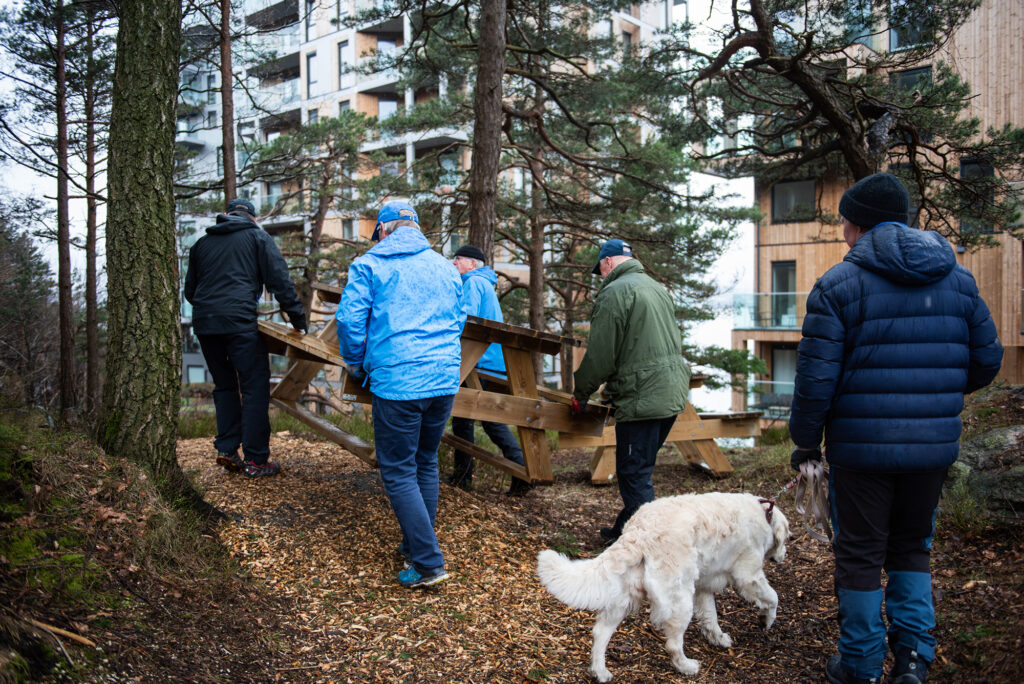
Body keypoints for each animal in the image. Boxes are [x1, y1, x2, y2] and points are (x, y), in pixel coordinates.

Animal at [536, 492, 789, 681]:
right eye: (787, 539)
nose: (783, 556)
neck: (764, 514)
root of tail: (638, 531)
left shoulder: (704, 587)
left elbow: (710, 618)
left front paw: (718, 638)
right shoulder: (748, 576)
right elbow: (773, 597)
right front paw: (766, 620)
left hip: (625, 598)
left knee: (600, 632)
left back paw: (600, 671)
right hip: (680, 601)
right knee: (673, 644)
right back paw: (686, 666)